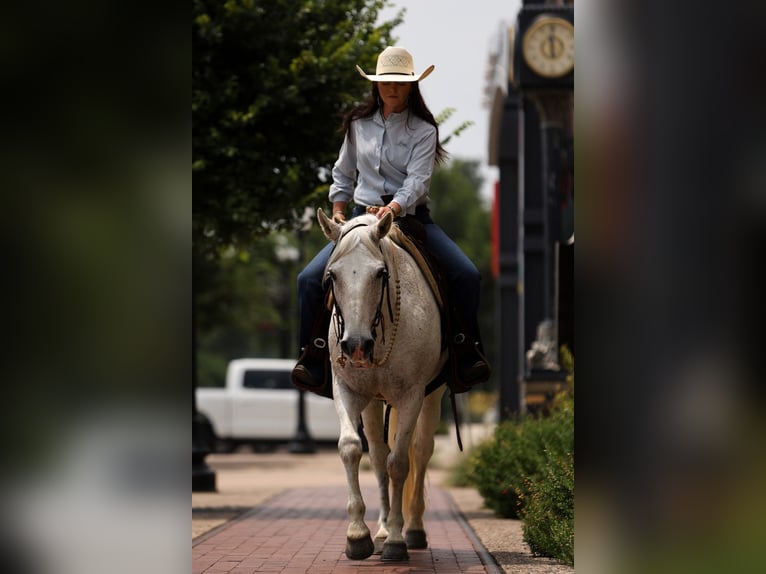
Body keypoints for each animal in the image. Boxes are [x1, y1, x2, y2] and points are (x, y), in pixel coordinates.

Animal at [318, 208, 450, 564]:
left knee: (421, 450)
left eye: (380, 274)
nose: (356, 346)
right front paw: (358, 534)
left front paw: (396, 540)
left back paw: (412, 529)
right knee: (377, 455)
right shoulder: (347, 389)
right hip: (374, 401)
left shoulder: (411, 395)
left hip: (432, 396)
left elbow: (400, 463)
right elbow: (352, 448)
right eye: (332, 276)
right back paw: (379, 528)